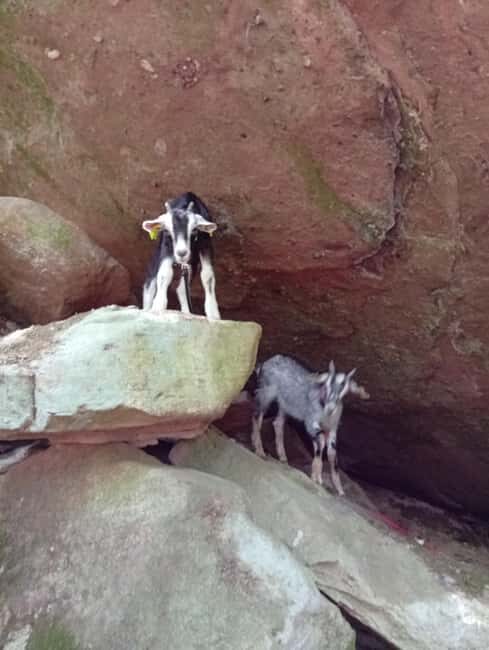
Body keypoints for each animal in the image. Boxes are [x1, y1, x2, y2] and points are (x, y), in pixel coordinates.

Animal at [251, 355, 369, 495]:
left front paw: (339, 489)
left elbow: (332, 454)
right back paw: (259, 450)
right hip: (266, 391)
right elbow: (320, 442)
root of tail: (267, 362)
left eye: (343, 388)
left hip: (284, 404)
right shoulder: (311, 421)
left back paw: (282, 457)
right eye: (327, 384)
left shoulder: (333, 428)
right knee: (257, 416)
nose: (330, 407)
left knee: (277, 423)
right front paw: (317, 477)